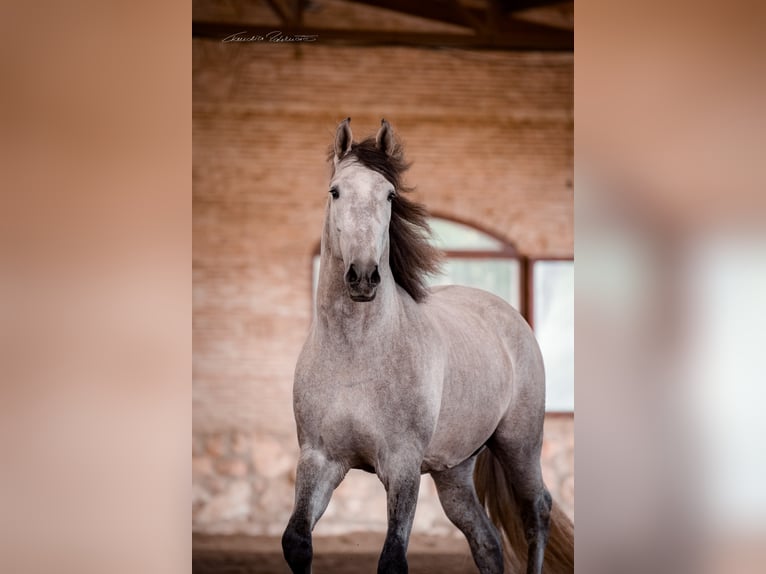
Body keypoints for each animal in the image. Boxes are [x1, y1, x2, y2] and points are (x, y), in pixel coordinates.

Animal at [282, 118, 574, 574]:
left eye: (389, 194)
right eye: (335, 191)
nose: (362, 276)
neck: (357, 353)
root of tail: (508, 317)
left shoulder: (402, 465)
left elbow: (392, 558)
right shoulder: (319, 458)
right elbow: (296, 542)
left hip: (520, 444)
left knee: (537, 511)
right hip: (453, 472)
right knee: (487, 541)